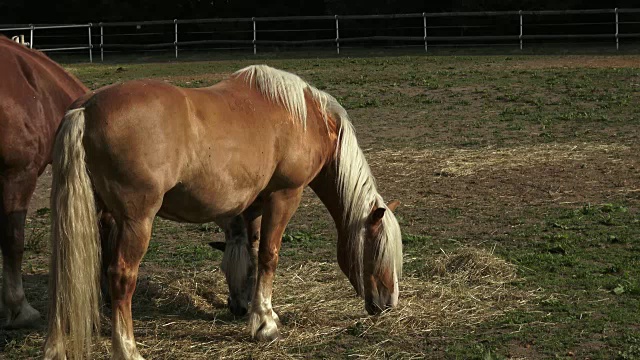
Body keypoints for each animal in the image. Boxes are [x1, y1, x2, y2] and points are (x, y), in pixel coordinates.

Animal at [45, 65, 400, 360]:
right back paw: (128, 350)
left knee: (66, 271)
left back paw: (57, 347)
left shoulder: (252, 206)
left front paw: (248, 307)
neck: (307, 117)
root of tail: (86, 109)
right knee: (121, 277)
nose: (388, 303)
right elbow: (269, 255)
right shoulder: (284, 196)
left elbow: (249, 253)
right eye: (377, 251)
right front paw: (266, 324)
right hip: (136, 221)